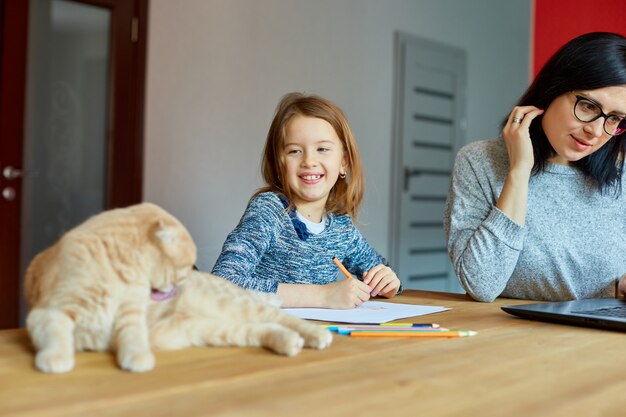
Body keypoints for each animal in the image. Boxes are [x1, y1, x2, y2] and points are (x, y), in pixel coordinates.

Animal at [23, 202, 332, 374]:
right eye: (182, 268)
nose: (182, 283)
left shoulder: (131, 316)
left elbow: (132, 335)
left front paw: (137, 358)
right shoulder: (49, 313)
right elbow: (57, 334)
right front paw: (56, 359)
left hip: (233, 306)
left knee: (282, 316)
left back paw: (317, 334)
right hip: (209, 329)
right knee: (264, 328)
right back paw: (289, 342)